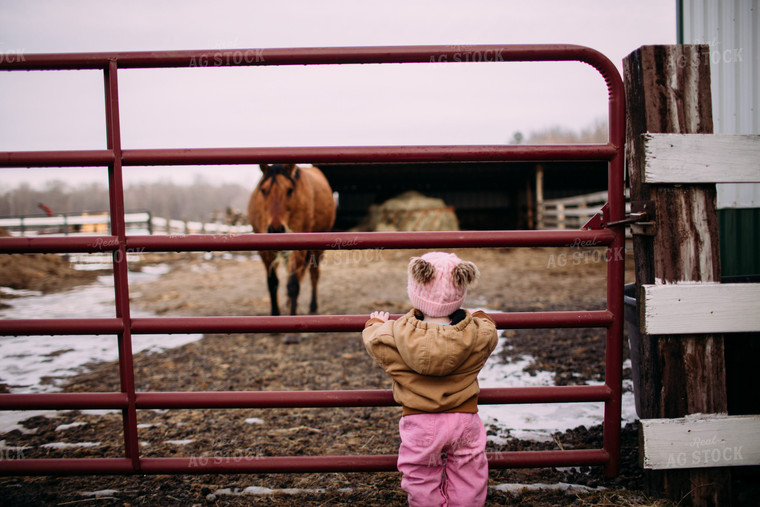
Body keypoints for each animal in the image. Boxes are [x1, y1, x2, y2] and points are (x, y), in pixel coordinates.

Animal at [249, 164, 336, 314]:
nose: (276, 229)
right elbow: (272, 283)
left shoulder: (298, 249)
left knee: (313, 274)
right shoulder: (265, 252)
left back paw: (313, 307)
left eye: (290, 190)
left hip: (317, 248)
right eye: (263, 190)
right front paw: (275, 313)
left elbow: (293, 285)